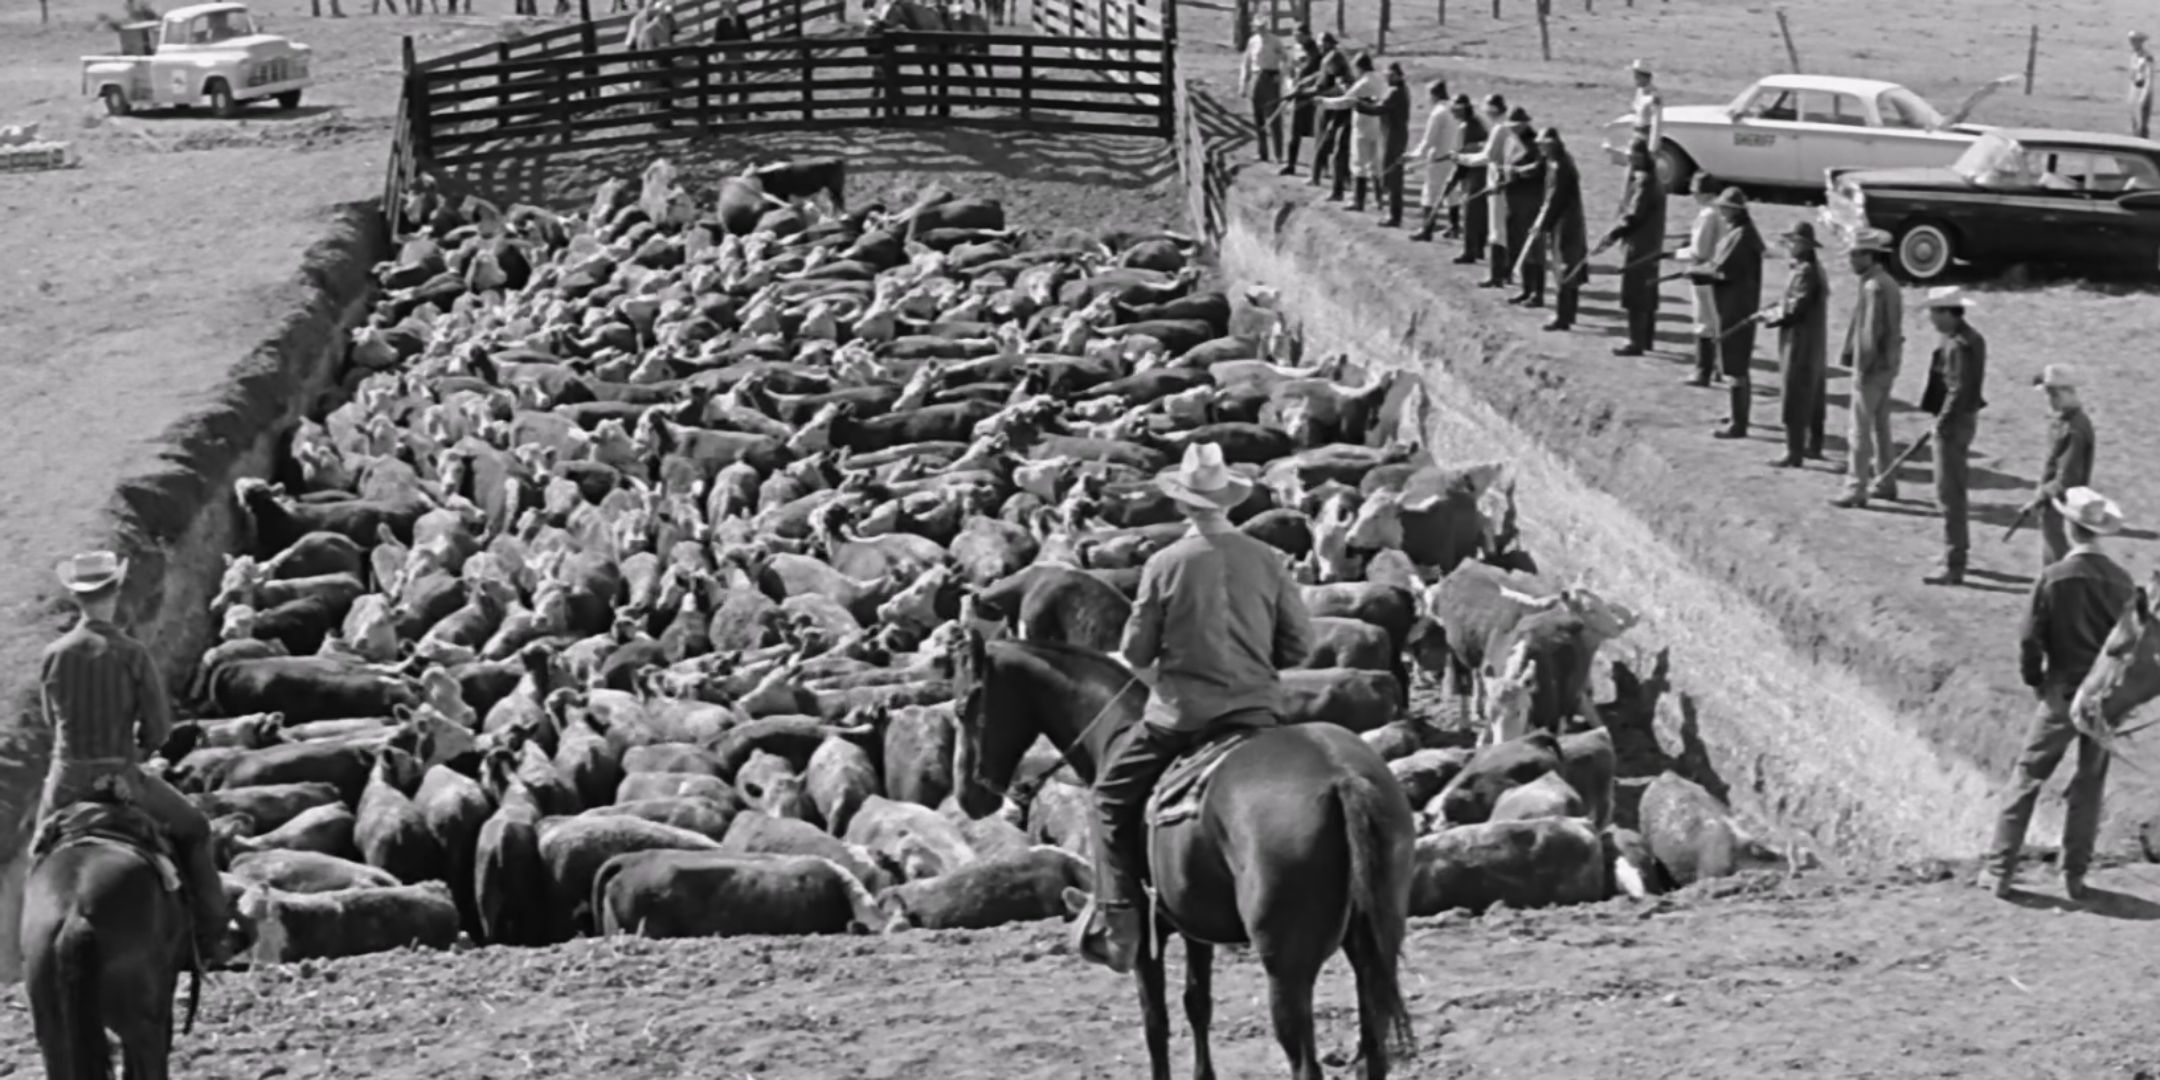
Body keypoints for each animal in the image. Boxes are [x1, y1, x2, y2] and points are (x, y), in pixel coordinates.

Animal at [946, 630, 1416, 1075]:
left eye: (962, 708)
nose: (968, 796)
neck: (1113, 736)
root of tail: (1342, 778)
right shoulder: (1194, 926)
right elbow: (1197, 1003)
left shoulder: (1146, 938)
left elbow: (1156, 1022)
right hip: (1374, 946)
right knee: (1374, 1047)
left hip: (1286, 967)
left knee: (1304, 1062)